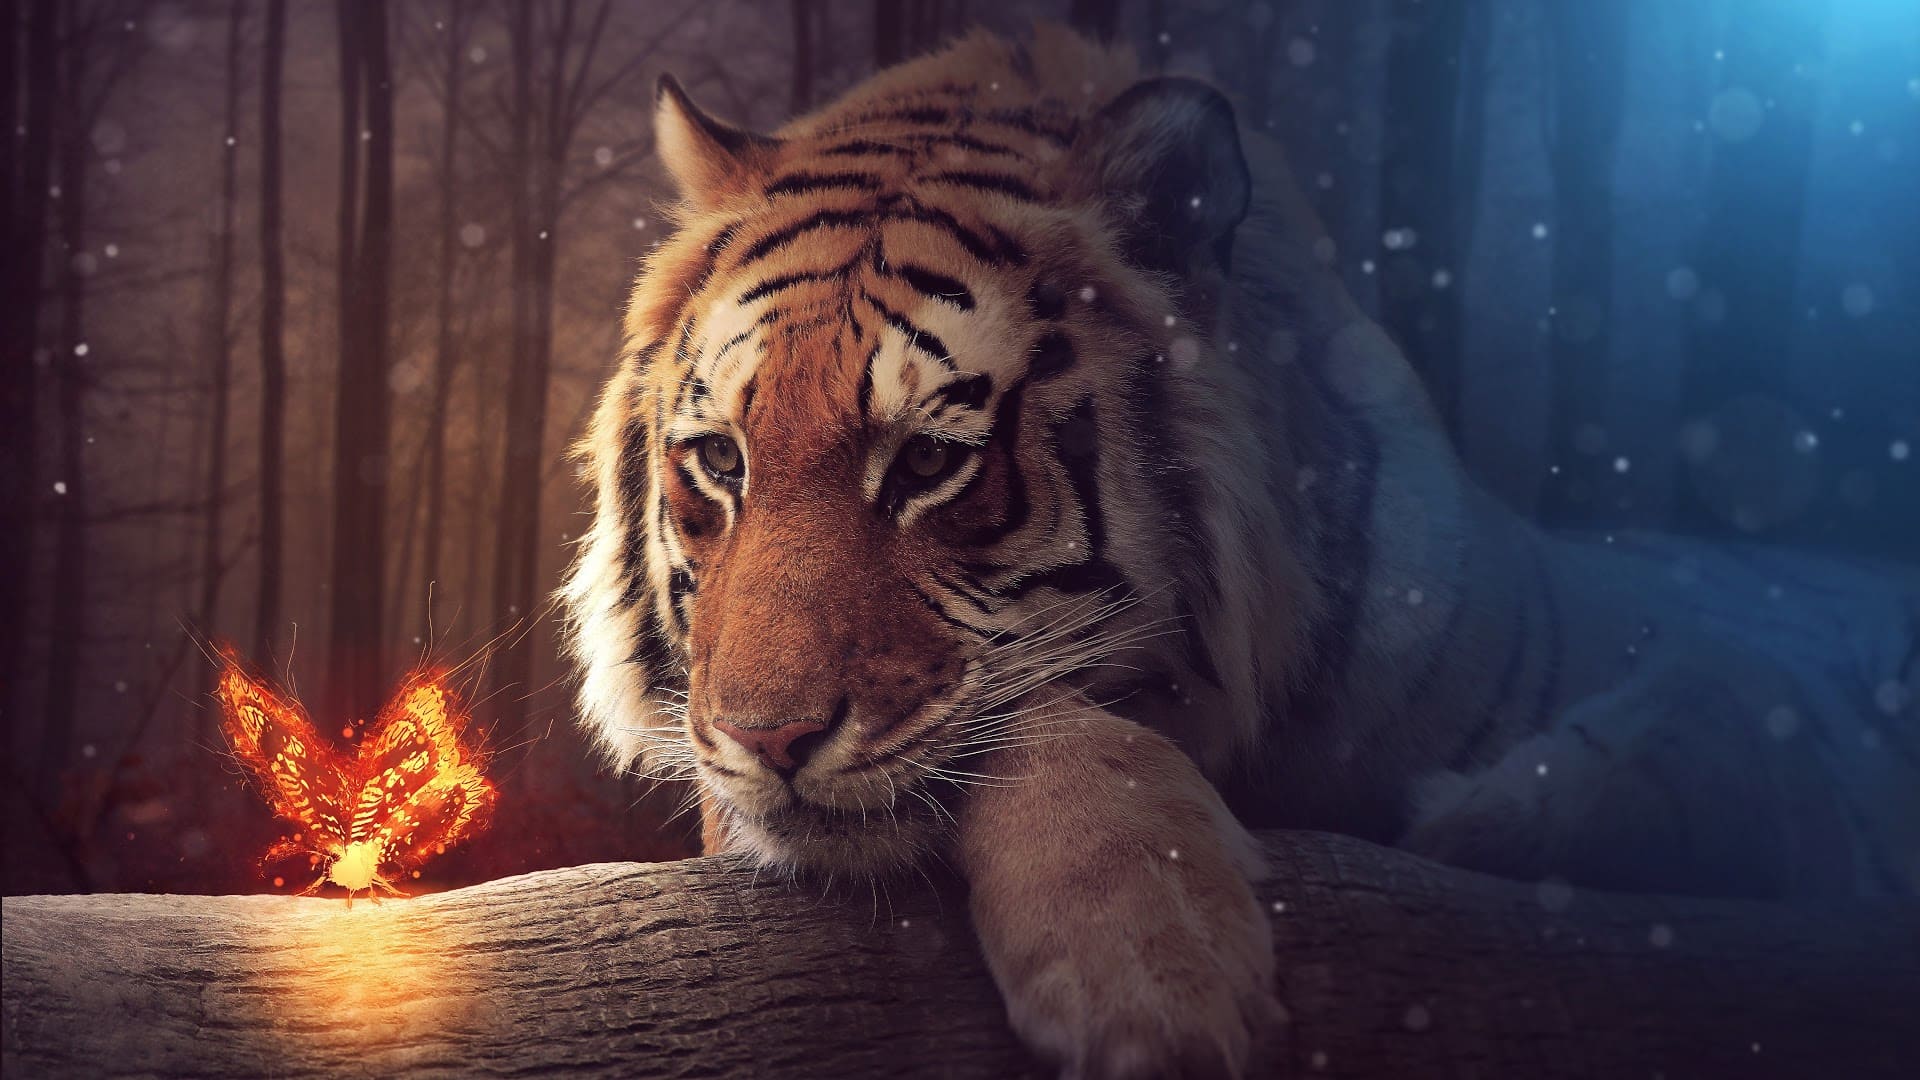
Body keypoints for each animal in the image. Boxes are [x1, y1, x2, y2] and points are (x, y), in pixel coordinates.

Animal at [561, 26, 1920, 1078]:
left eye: (932, 464)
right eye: (721, 462)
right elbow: (1042, 717)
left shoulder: (1761, 721)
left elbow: (1701, 735)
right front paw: (1151, 971)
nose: (767, 741)